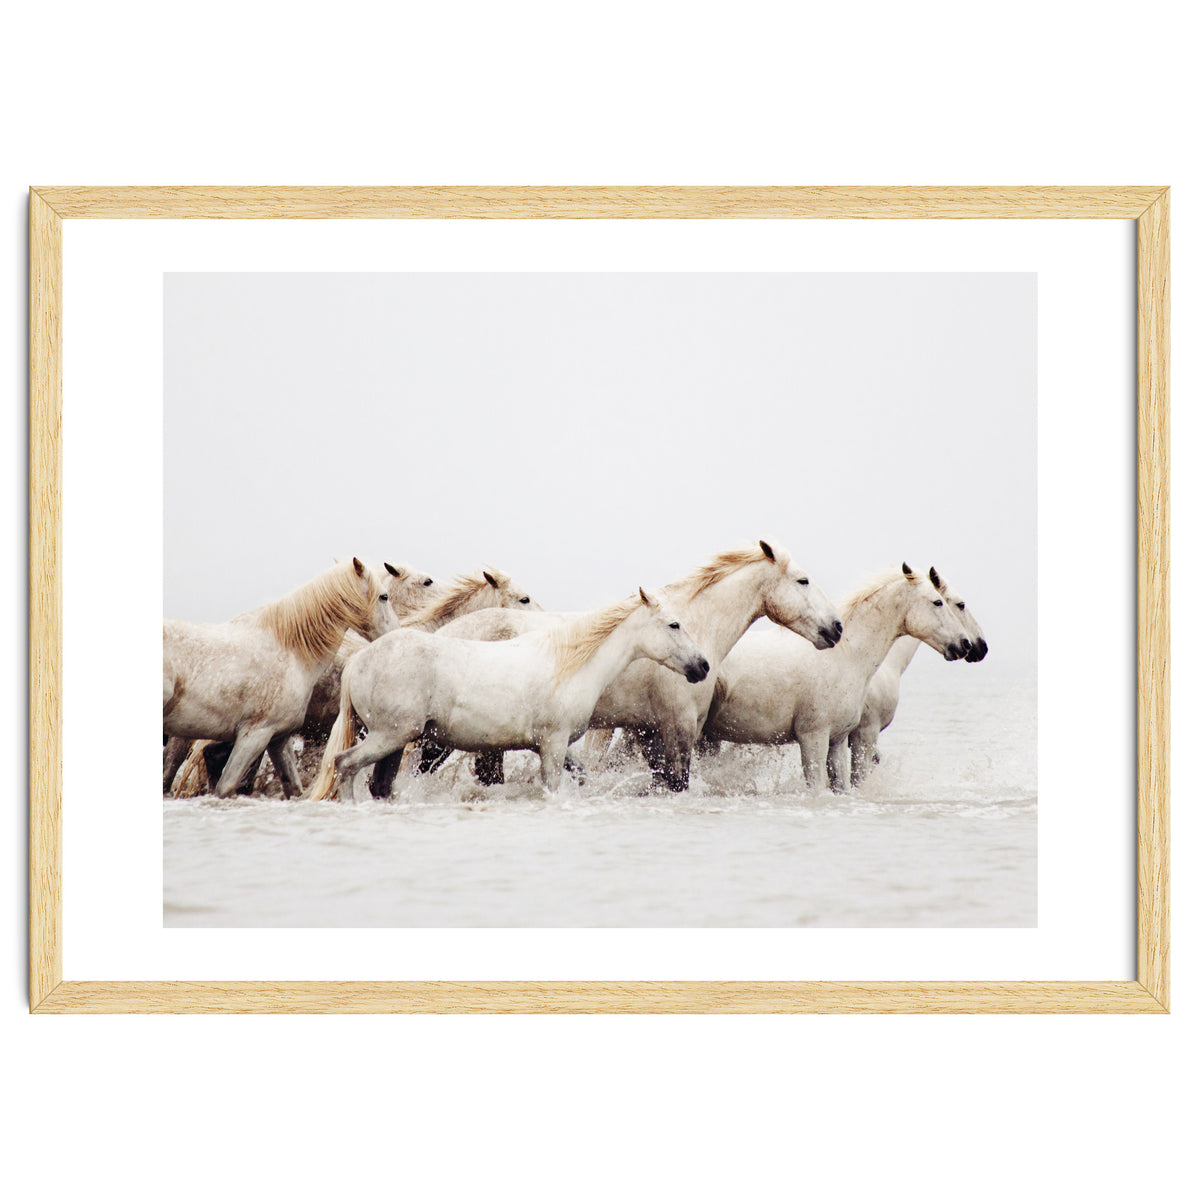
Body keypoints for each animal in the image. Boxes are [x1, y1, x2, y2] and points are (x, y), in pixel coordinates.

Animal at [309, 588, 711, 799]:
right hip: (391, 736)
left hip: (395, 741)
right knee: (345, 765)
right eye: (674, 625)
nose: (702, 666)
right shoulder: (553, 744)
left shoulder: (551, 746)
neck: (568, 664)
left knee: (378, 783)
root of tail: (359, 659)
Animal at [427, 541, 843, 791]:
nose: (836, 628)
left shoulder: (649, 732)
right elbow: (677, 782)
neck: (692, 626)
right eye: (803, 580)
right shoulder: (677, 729)